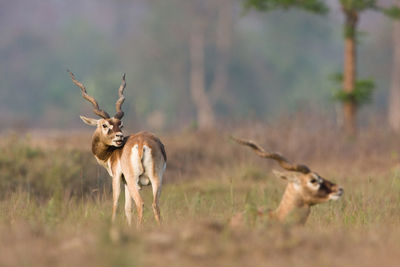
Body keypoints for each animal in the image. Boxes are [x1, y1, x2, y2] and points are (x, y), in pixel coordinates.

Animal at [69, 71, 166, 228]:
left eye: (120, 125)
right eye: (105, 125)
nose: (119, 136)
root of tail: (141, 143)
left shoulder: (116, 177)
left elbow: (115, 204)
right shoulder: (126, 182)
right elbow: (128, 208)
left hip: (134, 180)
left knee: (141, 204)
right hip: (157, 179)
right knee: (155, 205)